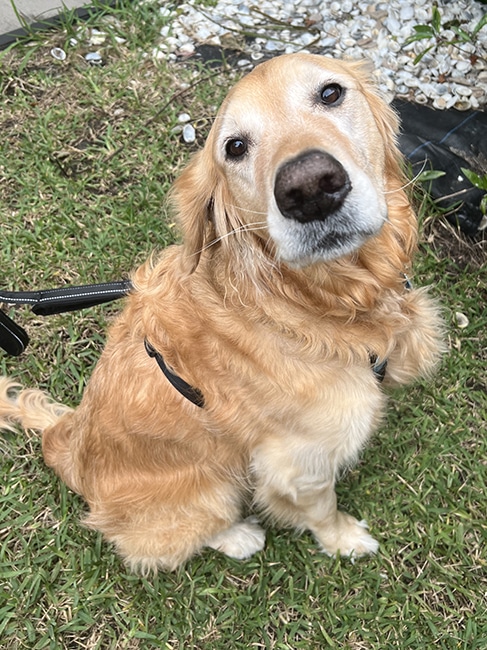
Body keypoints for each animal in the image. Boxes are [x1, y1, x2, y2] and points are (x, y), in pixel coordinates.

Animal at [0, 54, 443, 573]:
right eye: (235, 147)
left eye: (331, 93)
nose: (310, 187)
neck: (307, 302)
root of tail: (65, 444)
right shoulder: (299, 464)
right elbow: (322, 509)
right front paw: (344, 541)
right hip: (211, 493)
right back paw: (238, 537)